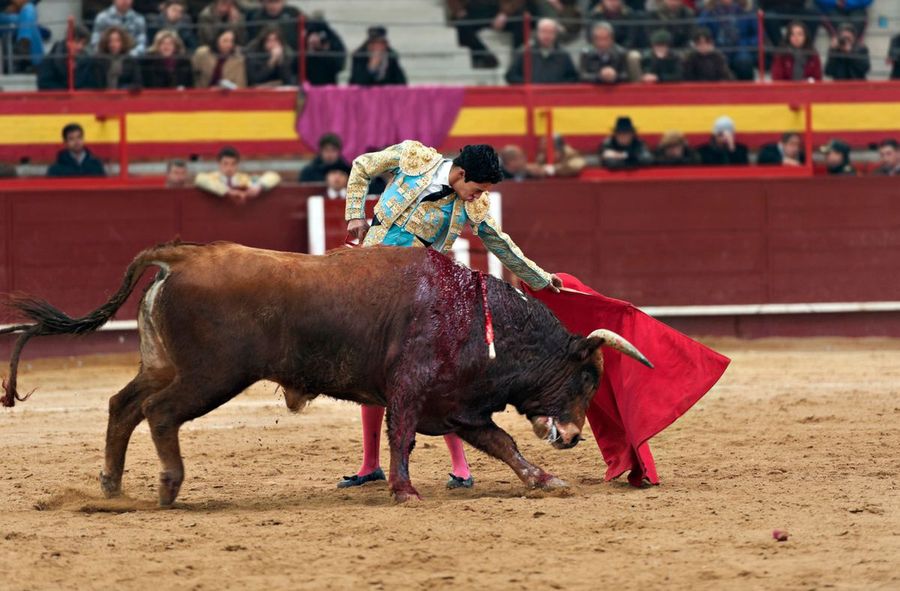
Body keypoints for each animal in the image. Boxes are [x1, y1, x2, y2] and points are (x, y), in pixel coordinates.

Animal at [0, 243, 648, 506]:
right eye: (588, 380)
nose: (574, 437)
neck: (475, 313)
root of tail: (181, 254)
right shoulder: (411, 391)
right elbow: (401, 435)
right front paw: (404, 491)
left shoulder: (456, 405)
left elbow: (502, 442)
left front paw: (544, 479)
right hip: (211, 375)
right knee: (158, 413)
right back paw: (167, 485)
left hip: (164, 364)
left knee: (123, 405)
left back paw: (111, 486)